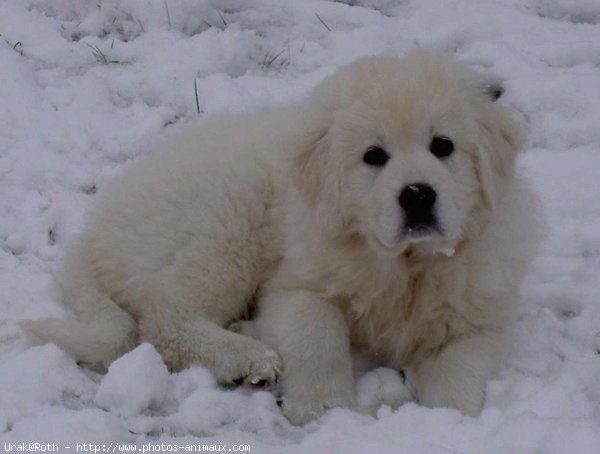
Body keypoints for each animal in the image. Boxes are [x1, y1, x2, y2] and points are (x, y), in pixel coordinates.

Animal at [23, 50, 540, 426]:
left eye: (443, 146)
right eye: (374, 156)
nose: (417, 195)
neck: (404, 265)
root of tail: (90, 238)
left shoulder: (478, 318)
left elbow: (457, 378)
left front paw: (439, 424)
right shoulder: (296, 285)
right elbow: (318, 333)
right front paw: (325, 410)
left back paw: (246, 335)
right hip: (224, 222)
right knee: (164, 321)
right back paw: (246, 357)